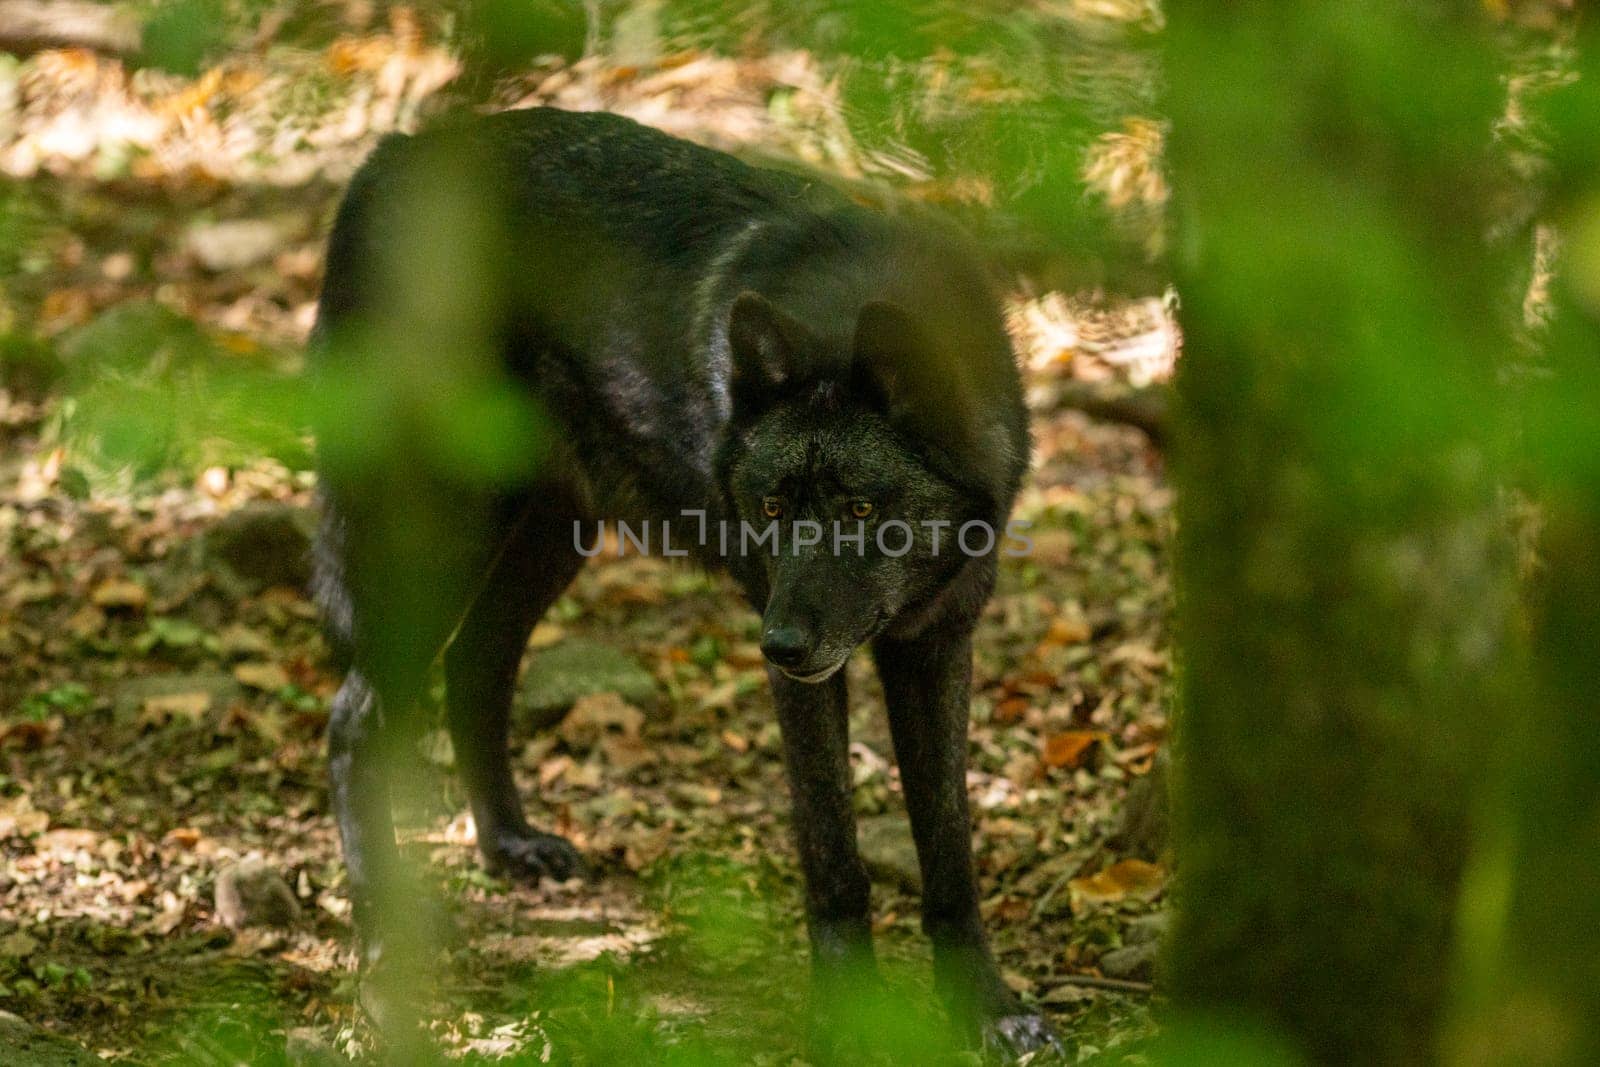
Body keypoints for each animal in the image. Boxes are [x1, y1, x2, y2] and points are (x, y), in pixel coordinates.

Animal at [308, 103, 1049, 1055]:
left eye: (857, 508)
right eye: (771, 507)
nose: (779, 642)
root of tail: (391, 155)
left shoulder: (936, 643)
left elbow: (951, 853)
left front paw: (988, 1008)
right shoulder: (812, 676)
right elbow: (833, 857)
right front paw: (846, 1016)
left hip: (549, 536)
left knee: (475, 662)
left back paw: (509, 844)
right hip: (448, 534)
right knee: (355, 717)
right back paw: (381, 952)